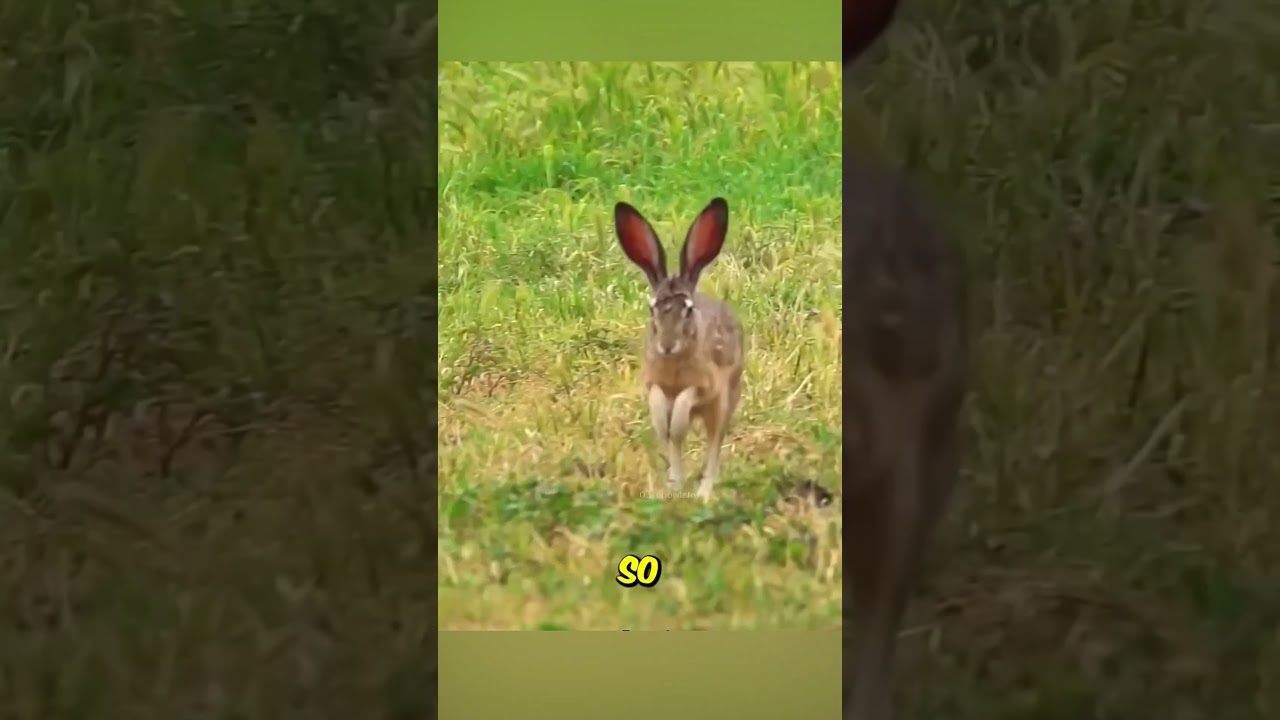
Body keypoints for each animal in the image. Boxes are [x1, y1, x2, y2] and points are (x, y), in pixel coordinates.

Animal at [613, 198, 745, 500]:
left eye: (688, 310)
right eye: (651, 309)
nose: (667, 346)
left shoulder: (705, 386)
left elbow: (685, 404)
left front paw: (677, 422)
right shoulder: (653, 384)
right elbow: (662, 414)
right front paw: (663, 425)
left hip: (723, 404)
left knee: (713, 445)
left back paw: (703, 493)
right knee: (676, 446)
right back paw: (674, 484)